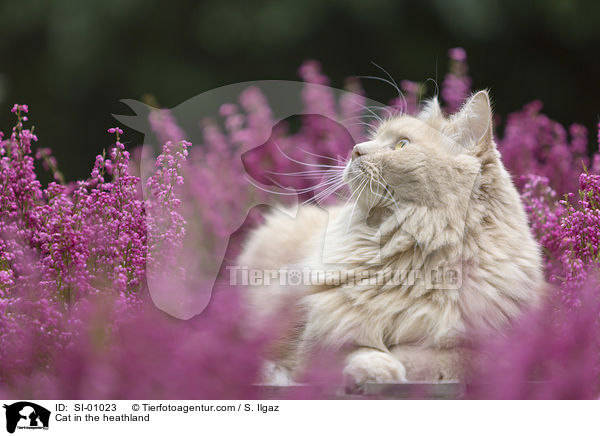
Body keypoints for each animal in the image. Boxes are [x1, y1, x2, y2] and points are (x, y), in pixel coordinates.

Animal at [237, 91, 548, 384]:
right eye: (374, 139)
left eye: (401, 145)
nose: (355, 151)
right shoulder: (314, 342)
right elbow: (359, 351)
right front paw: (378, 368)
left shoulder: (499, 352)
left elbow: (440, 359)